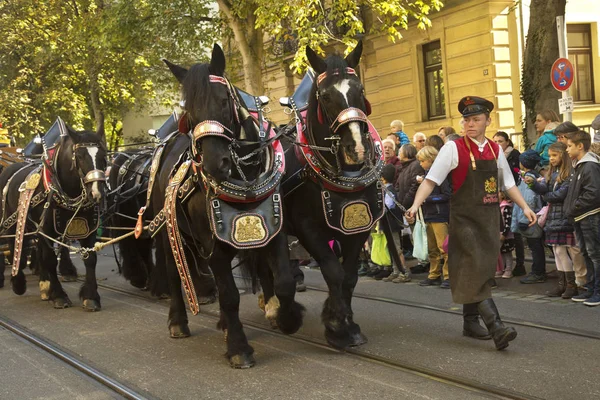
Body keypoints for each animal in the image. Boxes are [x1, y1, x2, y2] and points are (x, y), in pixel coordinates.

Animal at [0, 127, 106, 310]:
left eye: (103, 156)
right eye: (79, 156)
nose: (96, 193)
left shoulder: (86, 228)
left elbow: (90, 259)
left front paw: (90, 296)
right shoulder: (46, 229)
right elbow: (50, 259)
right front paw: (58, 295)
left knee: (38, 249)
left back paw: (44, 283)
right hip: (13, 221)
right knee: (15, 246)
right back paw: (19, 282)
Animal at [152, 44, 302, 368]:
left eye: (223, 101)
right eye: (190, 113)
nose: (214, 163)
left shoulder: (274, 228)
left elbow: (284, 281)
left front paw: (288, 318)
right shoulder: (213, 243)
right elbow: (230, 294)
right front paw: (238, 347)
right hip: (170, 234)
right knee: (174, 272)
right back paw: (178, 322)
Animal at [282, 43, 384, 350]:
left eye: (360, 89)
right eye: (326, 96)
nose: (357, 149)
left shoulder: (358, 227)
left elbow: (348, 276)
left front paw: (348, 325)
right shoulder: (308, 229)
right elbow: (333, 272)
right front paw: (337, 325)